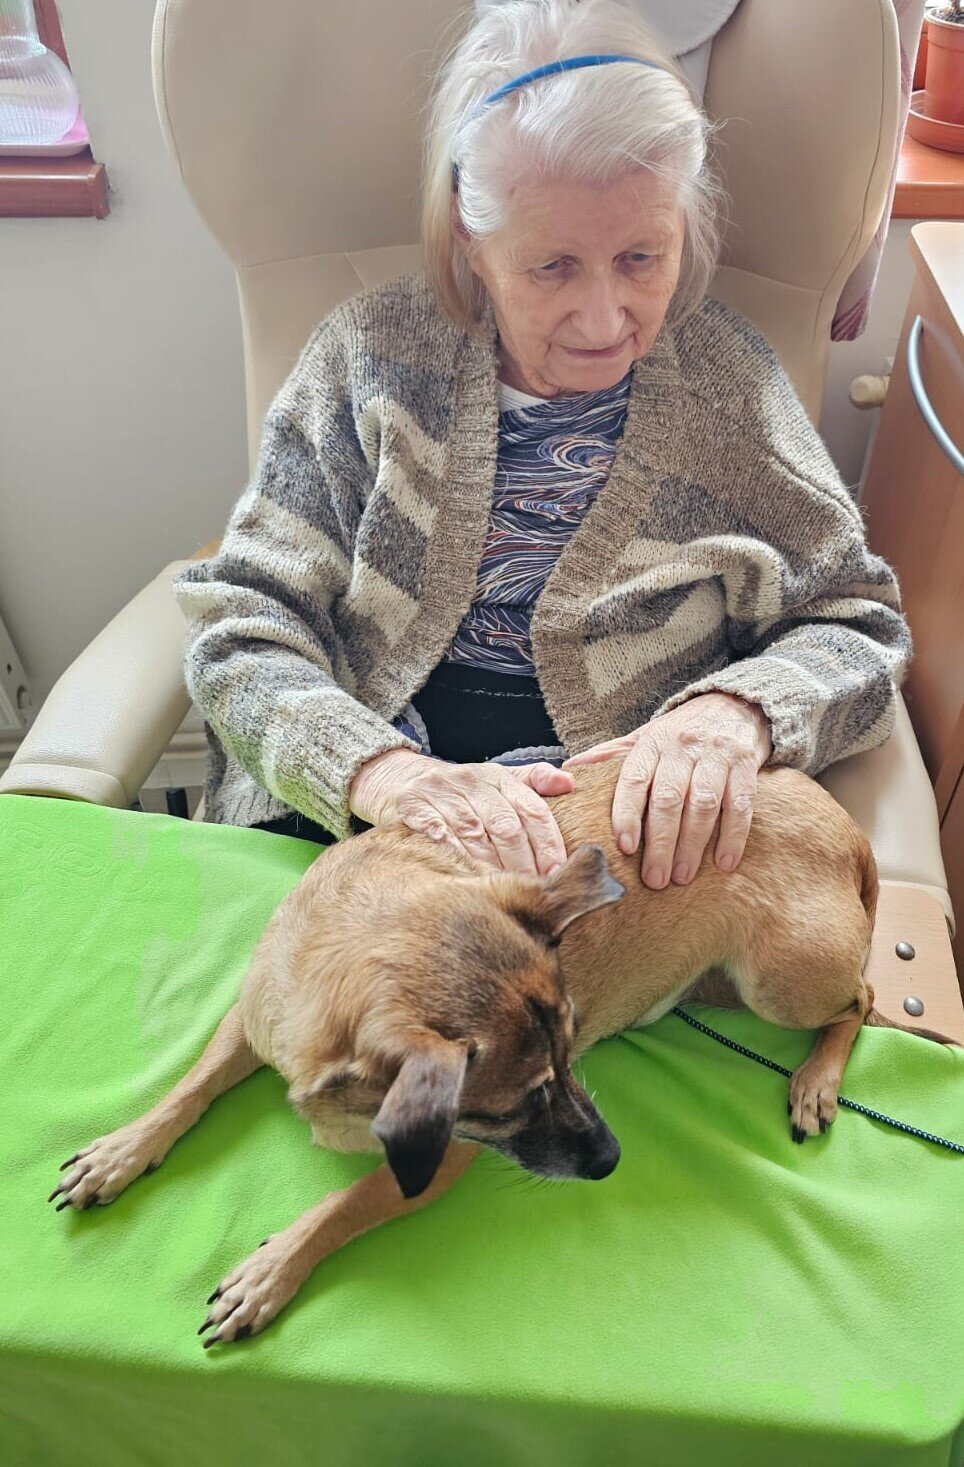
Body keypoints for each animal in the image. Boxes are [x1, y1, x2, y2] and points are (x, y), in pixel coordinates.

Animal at [48, 756, 953, 1345]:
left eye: (568, 1057)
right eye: (521, 1102)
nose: (613, 1157)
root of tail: (848, 830)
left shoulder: (437, 1159)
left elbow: (345, 1204)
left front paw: (271, 1270)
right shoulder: (250, 1022)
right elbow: (186, 1089)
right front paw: (122, 1150)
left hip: (781, 979)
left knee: (863, 1000)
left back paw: (816, 1081)